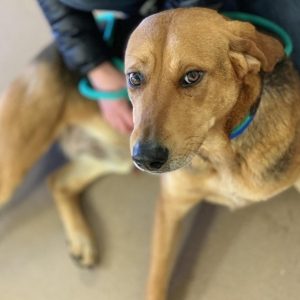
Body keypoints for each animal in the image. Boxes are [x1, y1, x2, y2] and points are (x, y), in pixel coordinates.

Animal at [125, 7, 300, 300]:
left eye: (192, 76)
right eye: (134, 78)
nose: (144, 158)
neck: (221, 154)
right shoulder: (170, 204)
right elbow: (157, 274)